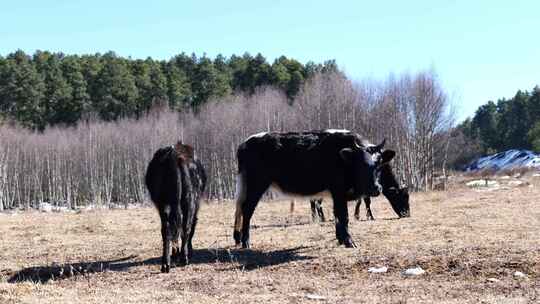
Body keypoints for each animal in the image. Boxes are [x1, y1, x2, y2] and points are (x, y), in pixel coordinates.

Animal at [146, 142, 207, 274]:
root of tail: (174, 155)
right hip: (190, 200)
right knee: (186, 227)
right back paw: (184, 259)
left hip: (163, 203)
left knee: (167, 229)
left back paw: (166, 264)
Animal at [231, 129, 392, 248]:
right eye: (360, 165)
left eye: (379, 164)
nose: (375, 188)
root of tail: (245, 143)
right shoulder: (339, 191)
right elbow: (343, 216)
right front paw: (349, 242)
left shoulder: (336, 194)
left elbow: (337, 216)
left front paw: (340, 239)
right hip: (256, 185)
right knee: (247, 210)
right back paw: (246, 242)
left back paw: (238, 239)